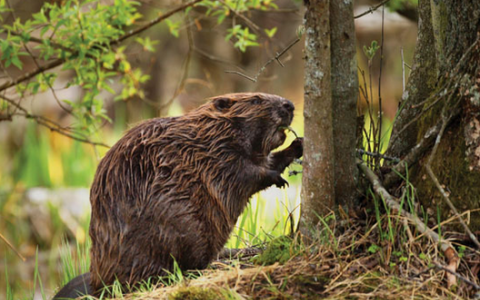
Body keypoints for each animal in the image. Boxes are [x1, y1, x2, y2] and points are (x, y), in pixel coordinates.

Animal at [52, 92, 300, 298]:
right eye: (256, 100)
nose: (290, 105)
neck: (210, 133)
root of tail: (97, 284)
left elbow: (266, 161)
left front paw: (298, 145)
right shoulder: (217, 155)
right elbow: (244, 173)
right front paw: (278, 179)